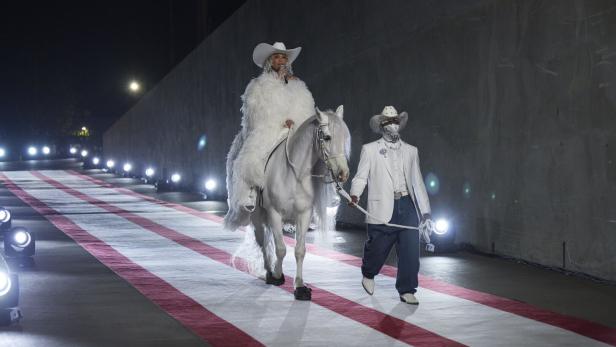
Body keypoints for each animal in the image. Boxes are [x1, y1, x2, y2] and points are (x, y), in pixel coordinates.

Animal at [247, 105, 352, 300]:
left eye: (344, 138)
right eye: (327, 137)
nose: (343, 174)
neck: (294, 175)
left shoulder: (303, 215)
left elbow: (300, 250)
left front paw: (300, 287)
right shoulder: (274, 213)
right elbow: (281, 249)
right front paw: (277, 275)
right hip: (259, 216)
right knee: (263, 241)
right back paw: (269, 271)